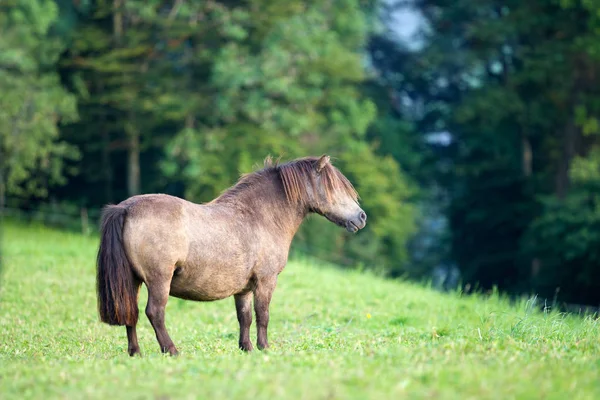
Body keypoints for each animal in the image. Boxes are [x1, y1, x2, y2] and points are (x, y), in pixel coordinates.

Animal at [96, 155, 366, 354]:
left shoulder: (244, 288)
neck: (259, 217)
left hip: (132, 281)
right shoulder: (266, 281)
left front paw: (246, 348)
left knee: (130, 312)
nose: (361, 217)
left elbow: (244, 318)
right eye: (335, 188)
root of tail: (126, 208)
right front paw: (265, 348)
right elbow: (263, 315)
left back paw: (135, 353)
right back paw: (171, 350)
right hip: (158, 280)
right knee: (154, 313)